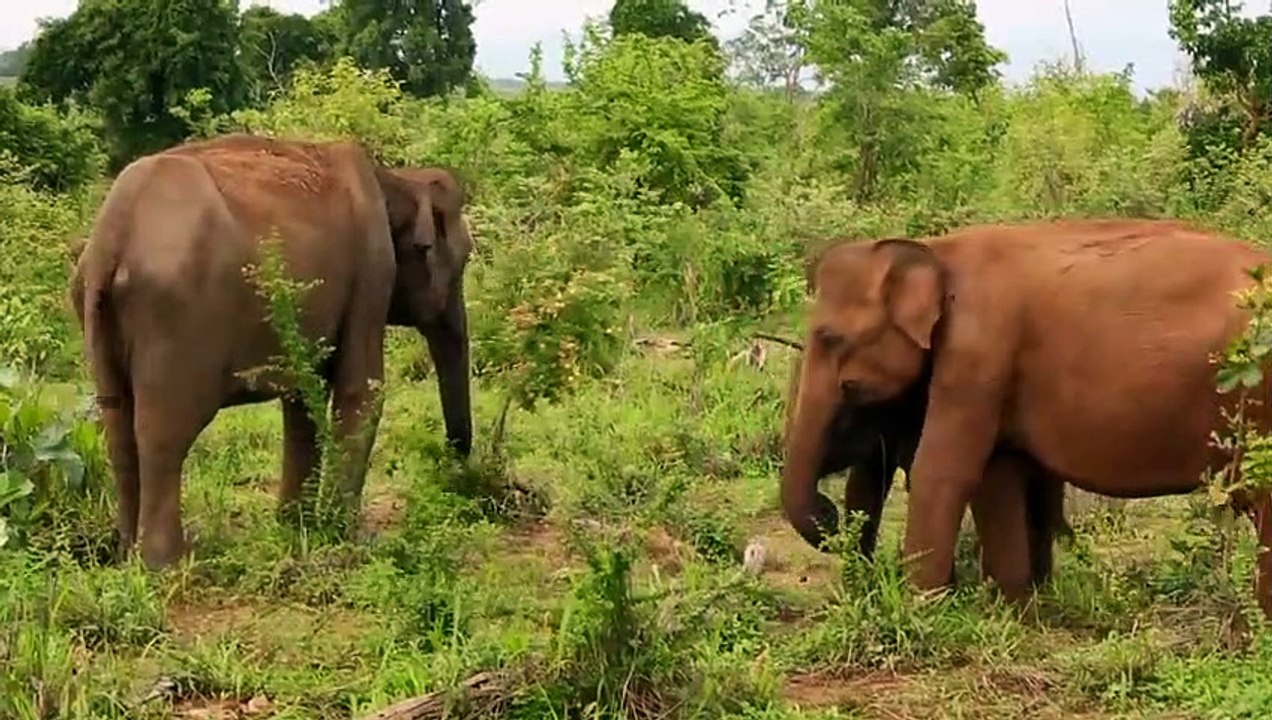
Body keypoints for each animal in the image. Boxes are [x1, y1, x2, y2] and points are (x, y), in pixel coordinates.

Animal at [68, 133, 474, 569]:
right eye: (465, 258)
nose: (455, 466)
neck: (395, 179)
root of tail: (112, 239)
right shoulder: (373, 268)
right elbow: (362, 392)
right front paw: (347, 539)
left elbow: (303, 397)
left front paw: (295, 529)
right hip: (175, 318)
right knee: (164, 431)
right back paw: (168, 565)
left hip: (98, 314)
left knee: (118, 425)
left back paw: (126, 555)